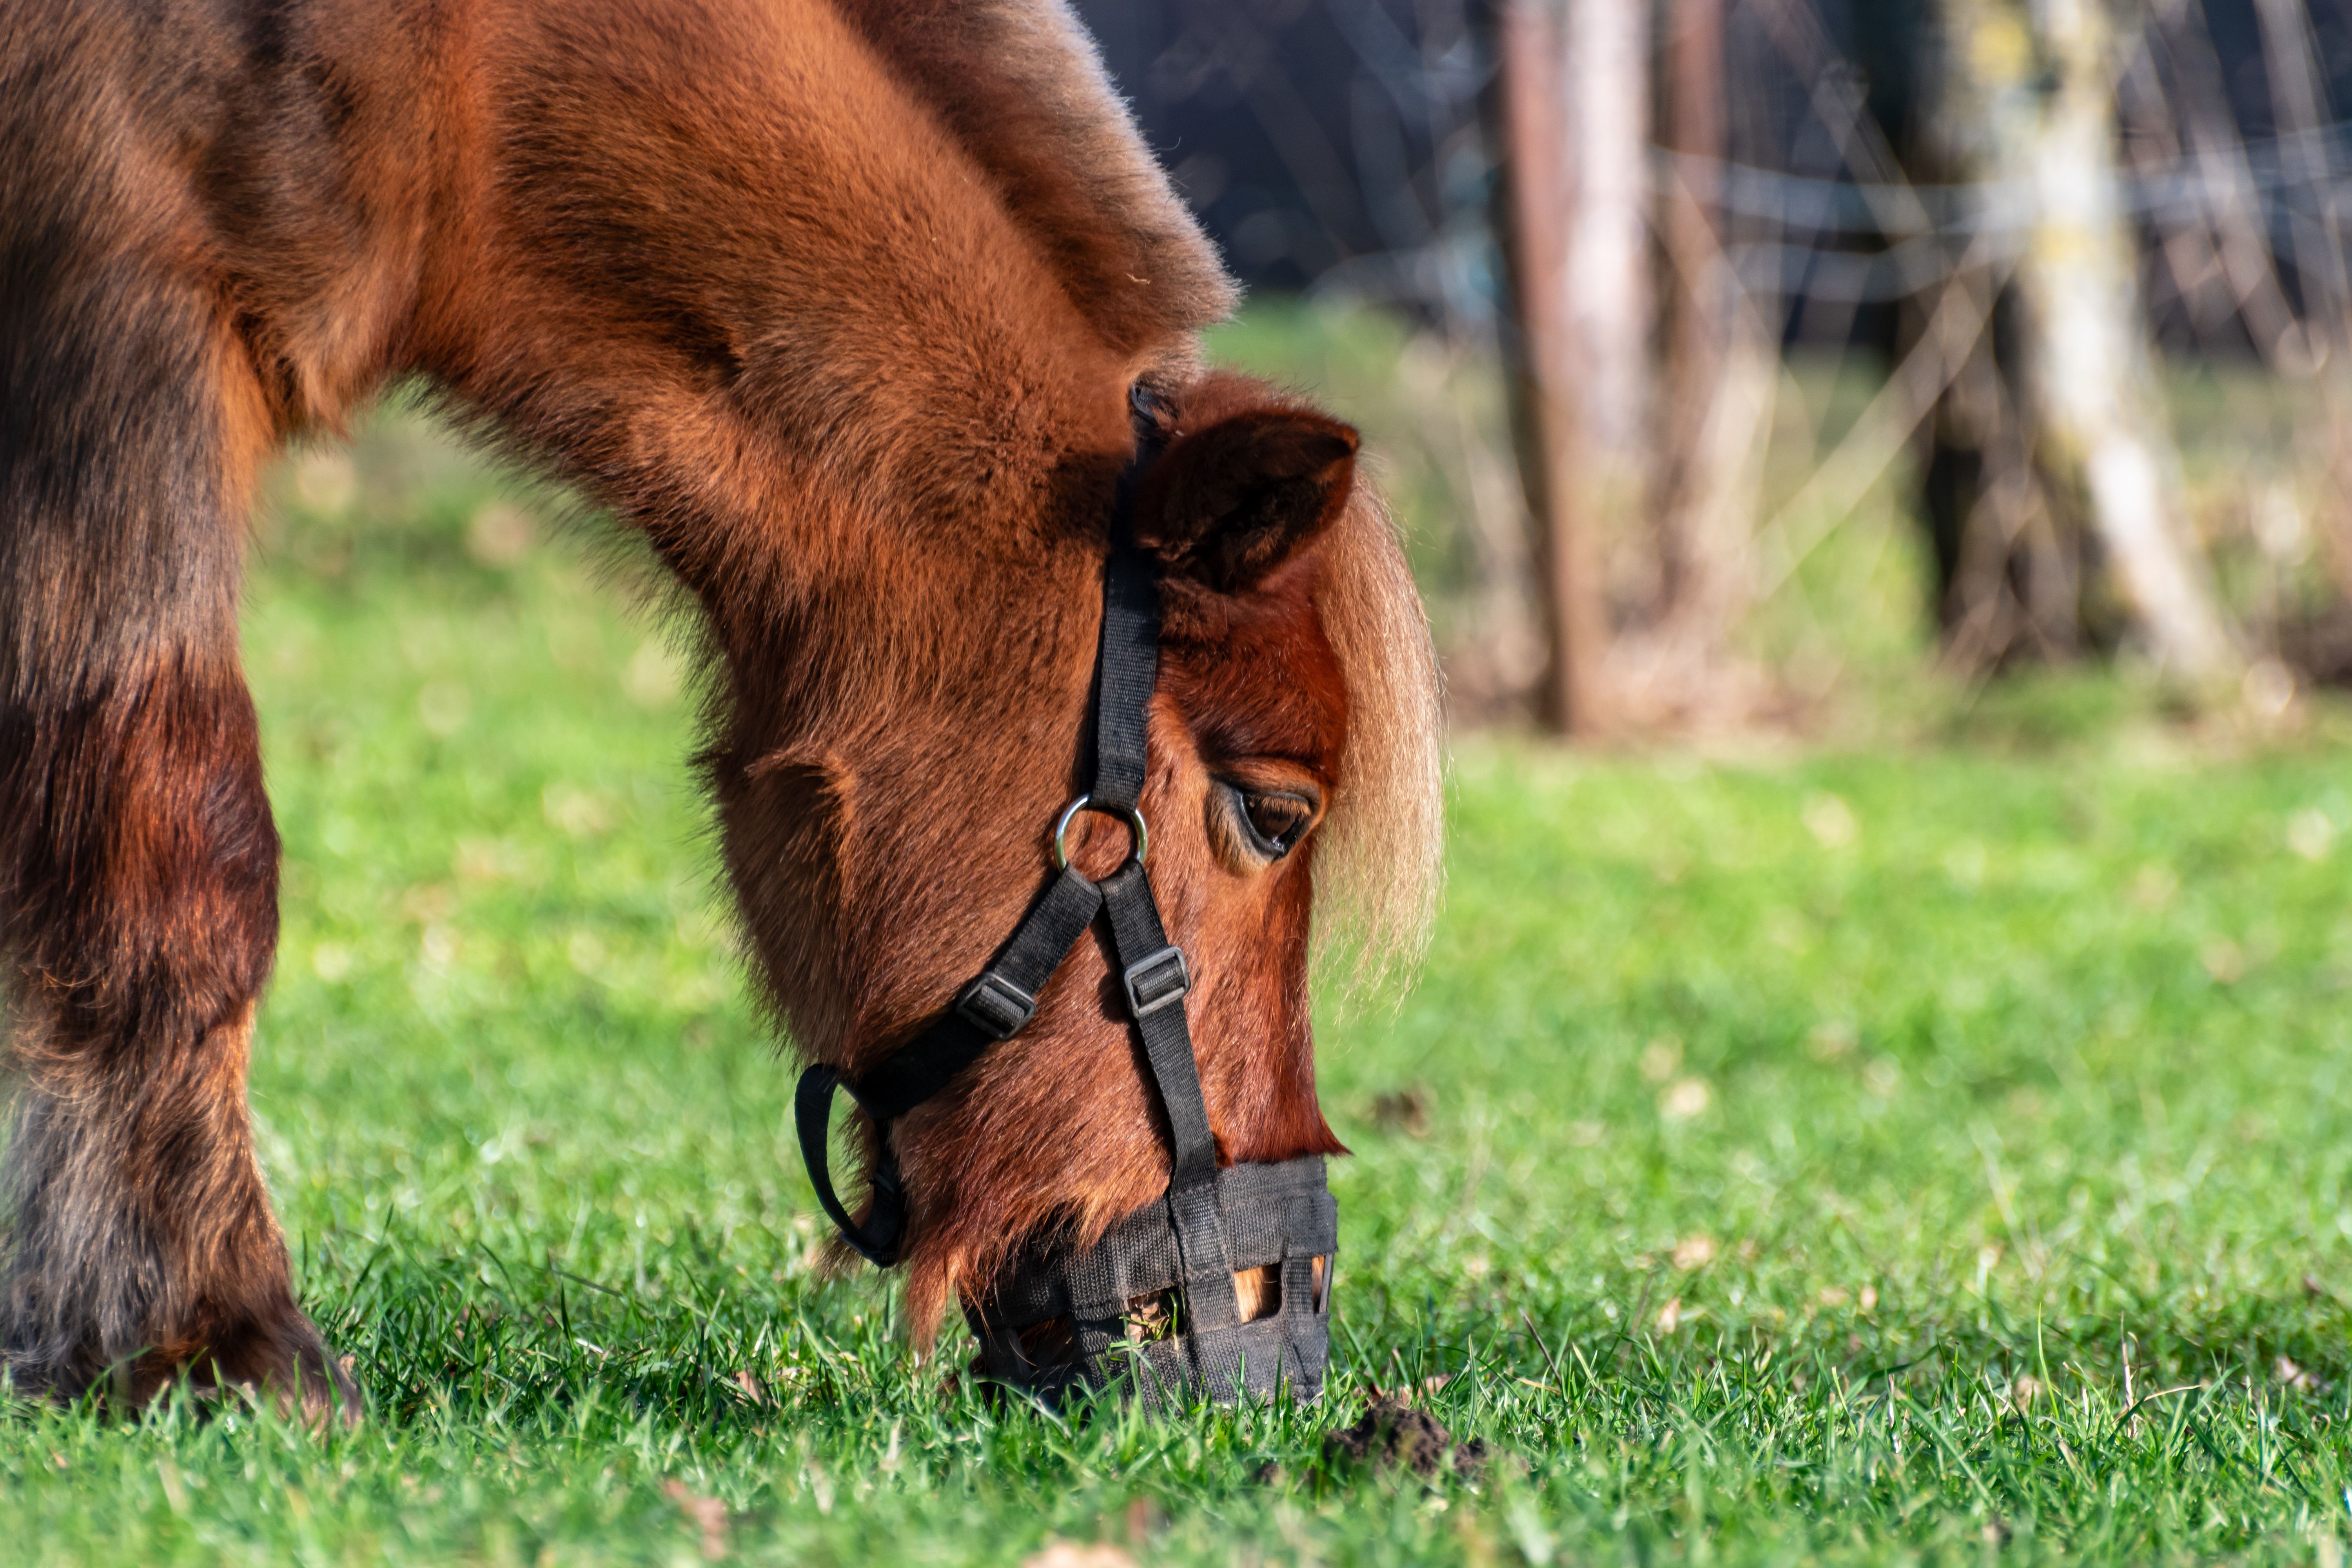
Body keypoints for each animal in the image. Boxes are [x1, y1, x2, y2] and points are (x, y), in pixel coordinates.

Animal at [0, 0, 1442, 1418]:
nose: (1289, 1312)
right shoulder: (116, 318)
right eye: (1273, 814)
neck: (460, 70)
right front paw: (208, 1335)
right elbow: (184, 848)